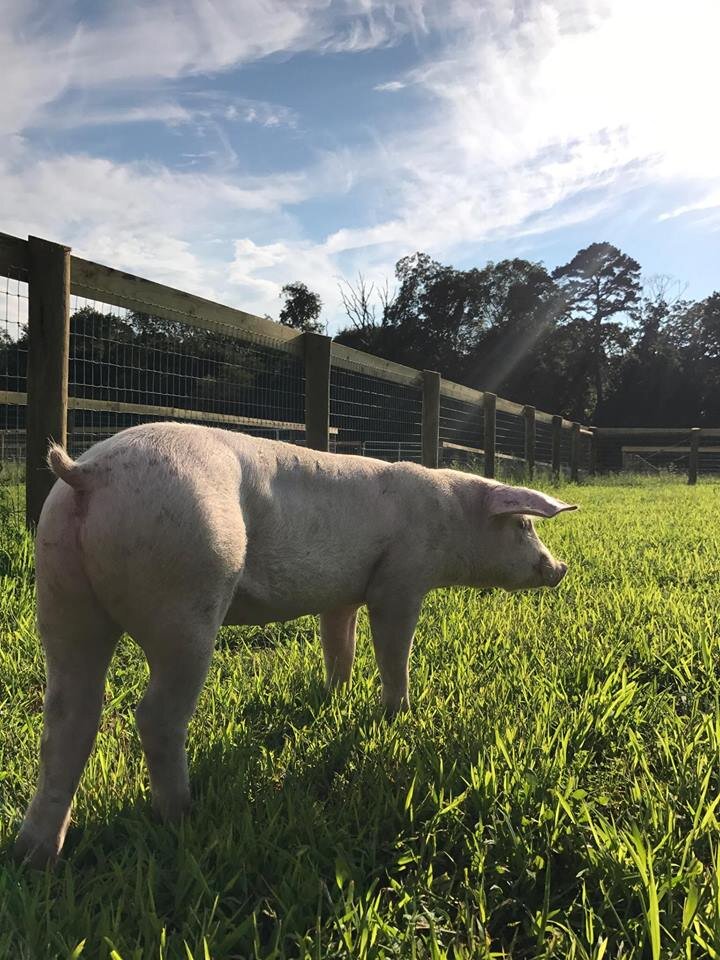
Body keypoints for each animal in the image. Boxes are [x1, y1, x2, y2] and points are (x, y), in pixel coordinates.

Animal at [14, 421, 575, 865]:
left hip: (61, 591)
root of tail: (89, 473)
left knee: (68, 715)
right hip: (185, 594)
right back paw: (182, 815)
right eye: (524, 526)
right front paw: (399, 713)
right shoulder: (400, 580)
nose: (560, 568)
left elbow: (339, 645)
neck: (451, 518)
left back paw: (36, 856)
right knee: (154, 715)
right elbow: (394, 649)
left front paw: (336, 698)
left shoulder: (343, 596)